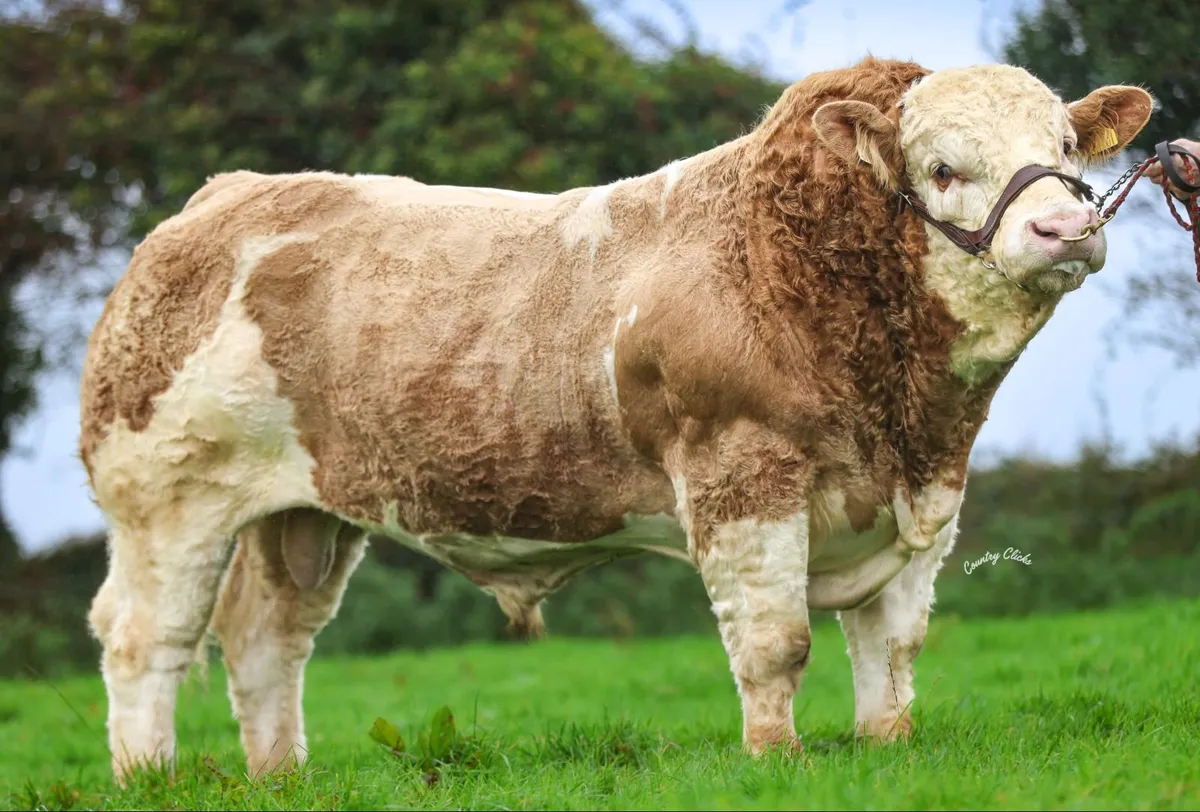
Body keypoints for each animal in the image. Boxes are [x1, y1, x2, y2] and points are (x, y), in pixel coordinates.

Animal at [79, 56, 1151, 780]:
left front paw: (886, 745)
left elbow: (891, 646)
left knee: (266, 639)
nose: (1064, 227)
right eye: (940, 169)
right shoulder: (740, 473)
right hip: (168, 500)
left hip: (302, 511)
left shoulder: (923, 494)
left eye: (1064, 147)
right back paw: (150, 777)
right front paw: (776, 757)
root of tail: (218, 201)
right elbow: (778, 641)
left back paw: (281, 777)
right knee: (145, 640)